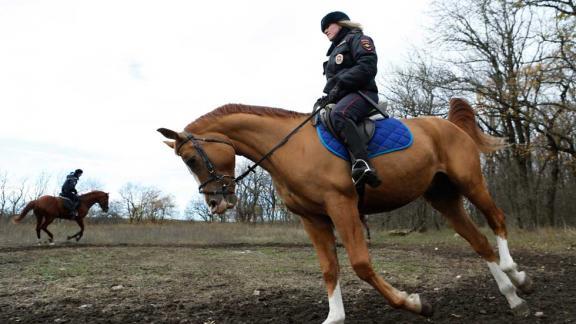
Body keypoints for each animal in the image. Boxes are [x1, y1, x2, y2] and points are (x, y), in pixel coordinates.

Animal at [159, 98, 536, 322]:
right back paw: (513, 295)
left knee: (497, 221)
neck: (292, 149)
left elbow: (361, 265)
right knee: (478, 242)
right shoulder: (312, 219)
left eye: (191, 159)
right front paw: (335, 317)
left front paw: (415, 303)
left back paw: (515, 273)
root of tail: (449, 126)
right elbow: (330, 269)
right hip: (443, 198)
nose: (216, 203)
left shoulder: (342, 206)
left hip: (470, 183)